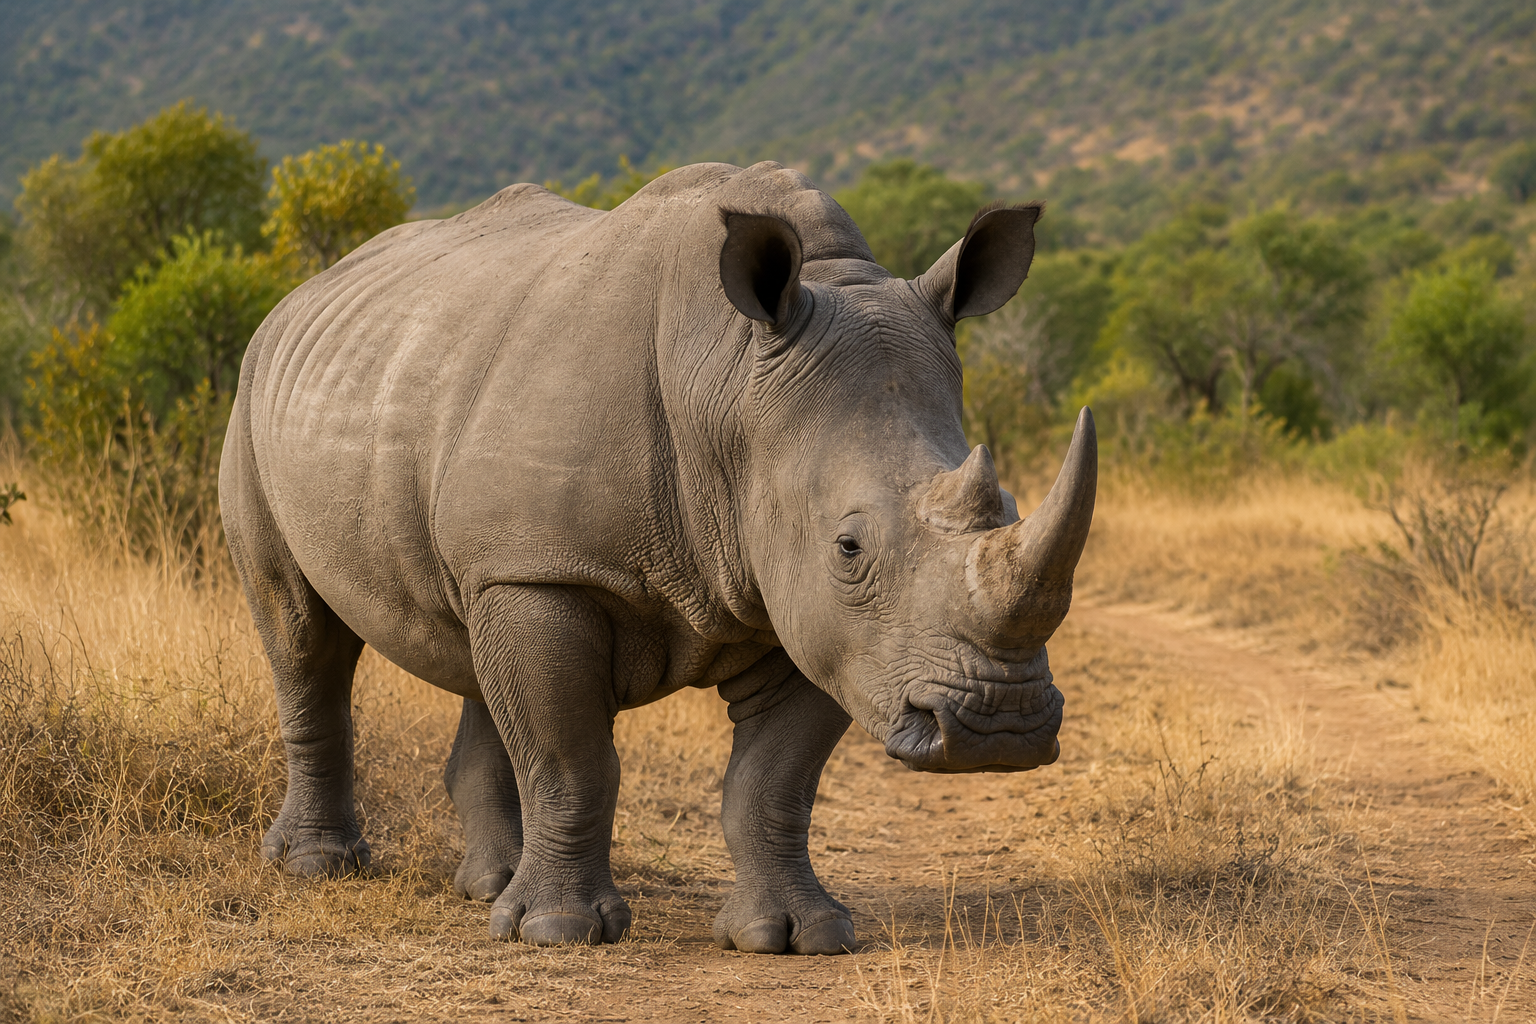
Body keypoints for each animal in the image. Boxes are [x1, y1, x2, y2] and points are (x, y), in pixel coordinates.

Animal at [220, 160, 1096, 955]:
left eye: (1007, 506)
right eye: (850, 546)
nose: (999, 729)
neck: (732, 381)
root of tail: (297, 297)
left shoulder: (812, 613)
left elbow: (773, 781)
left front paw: (796, 936)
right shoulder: (551, 568)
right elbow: (572, 760)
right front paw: (558, 933)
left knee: (476, 646)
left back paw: (490, 886)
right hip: (257, 395)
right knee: (301, 632)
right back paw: (320, 867)